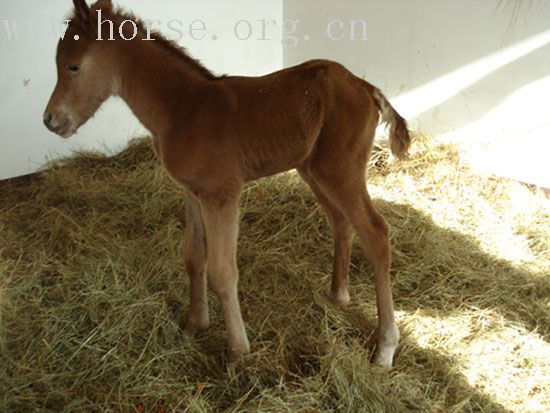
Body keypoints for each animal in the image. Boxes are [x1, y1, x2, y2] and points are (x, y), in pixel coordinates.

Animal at [45, 0, 412, 366]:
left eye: (73, 66)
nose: (50, 120)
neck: (183, 110)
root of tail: (365, 87)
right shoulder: (193, 192)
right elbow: (194, 256)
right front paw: (194, 326)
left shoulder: (222, 194)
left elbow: (223, 271)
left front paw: (238, 350)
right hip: (314, 171)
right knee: (341, 223)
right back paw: (338, 296)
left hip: (340, 171)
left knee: (376, 233)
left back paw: (385, 346)